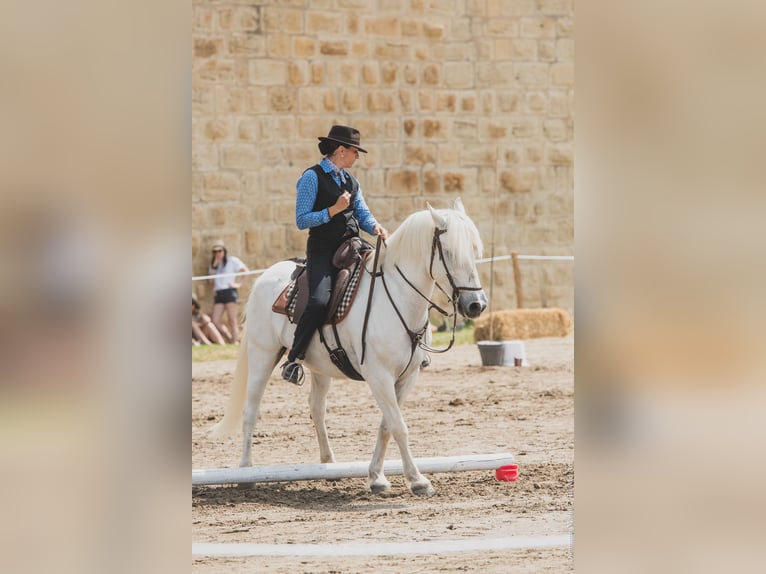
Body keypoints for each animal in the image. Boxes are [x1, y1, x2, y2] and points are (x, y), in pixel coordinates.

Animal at [209, 198, 488, 496]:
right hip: (263, 355)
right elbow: (398, 426)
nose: (476, 305)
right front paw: (417, 480)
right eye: (448, 252)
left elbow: (386, 426)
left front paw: (377, 477)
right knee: (251, 410)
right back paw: (246, 472)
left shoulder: (407, 377)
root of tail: (265, 277)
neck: (397, 298)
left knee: (317, 409)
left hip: (319, 367)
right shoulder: (379, 377)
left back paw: (329, 465)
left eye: (474, 250)